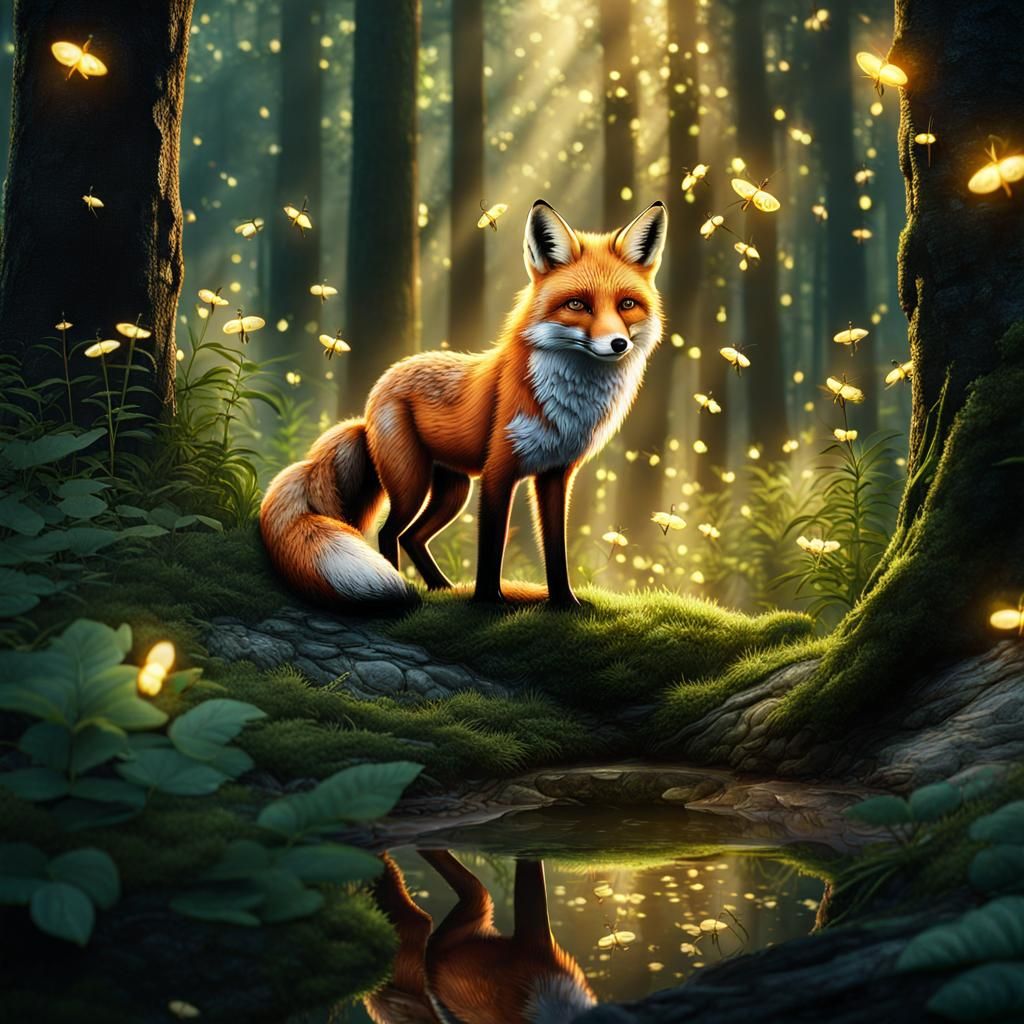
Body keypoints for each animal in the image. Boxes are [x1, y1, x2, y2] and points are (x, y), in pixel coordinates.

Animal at [260, 198, 668, 609]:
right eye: (577, 305)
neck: (569, 405)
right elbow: (490, 545)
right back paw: (404, 591)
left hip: (453, 491)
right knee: (389, 533)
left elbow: (555, 548)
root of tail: (374, 395)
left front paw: (565, 604)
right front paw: (489, 601)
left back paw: (442, 587)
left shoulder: (556, 475)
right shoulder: (498, 470)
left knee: (412, 536)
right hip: (412, 482)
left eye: (627, 304)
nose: (618, 344)